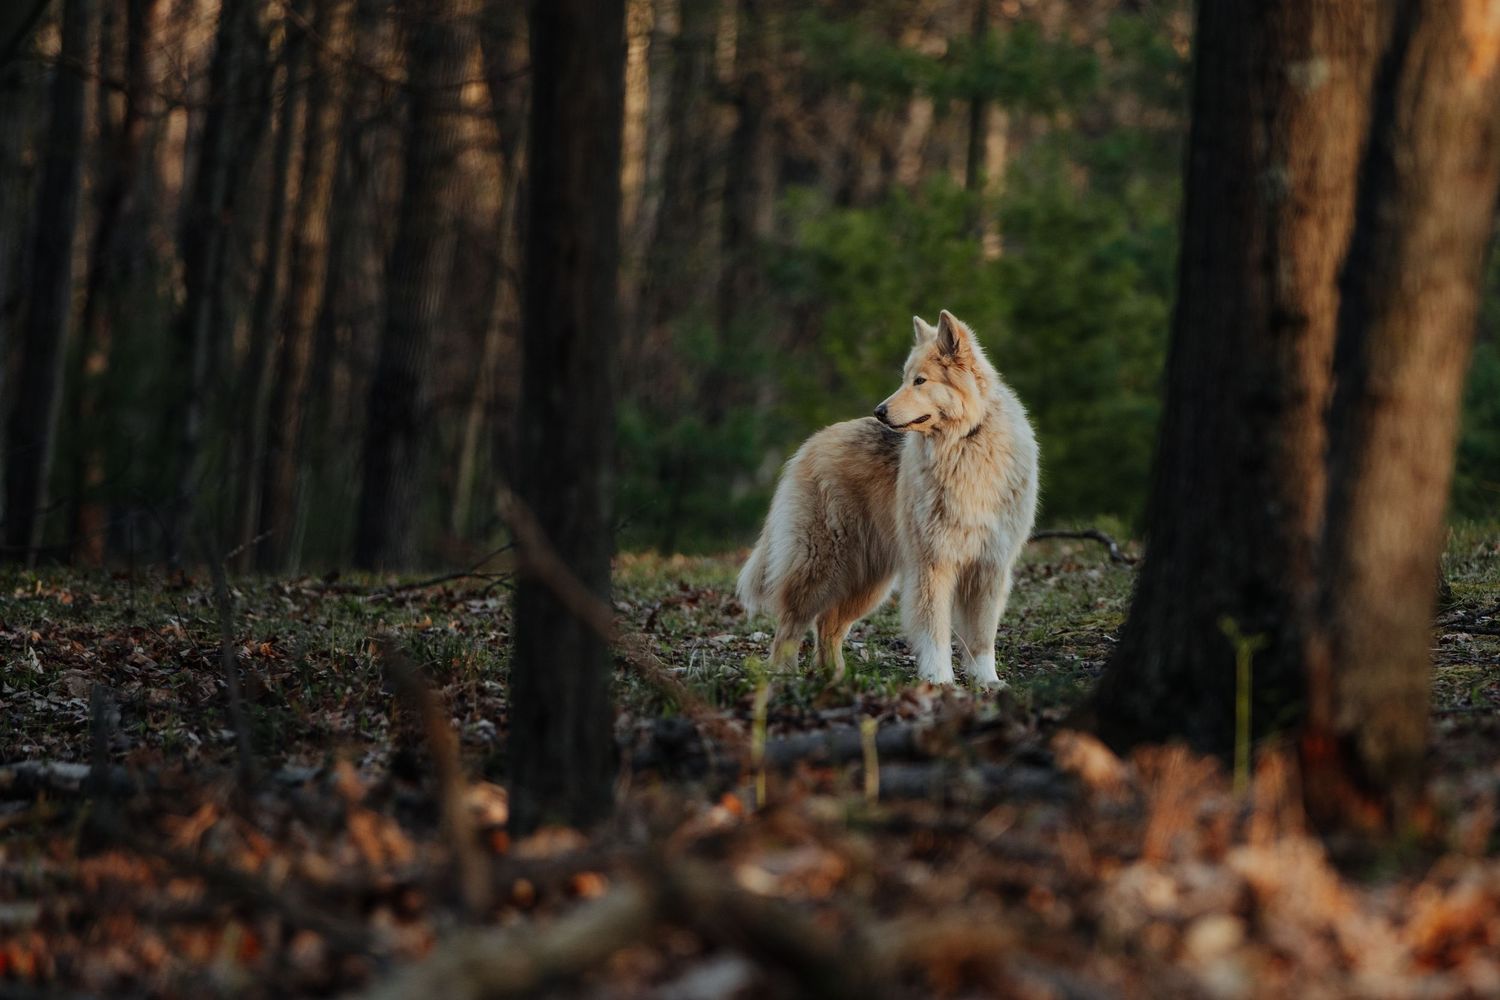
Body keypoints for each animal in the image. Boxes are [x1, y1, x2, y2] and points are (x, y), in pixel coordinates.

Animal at [737, 310, 1039, 686]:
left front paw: (987, 681)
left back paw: (835, 676)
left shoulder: (990, 567)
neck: (965, 442)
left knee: (828, 624)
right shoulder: (933, 564)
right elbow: (935, 630)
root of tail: (814, 441)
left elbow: (982, 636)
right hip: (823, 565)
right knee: (792, 622)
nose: (879, 411)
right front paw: (940, 680)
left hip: (869, 579)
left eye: (920, 381)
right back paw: (784, 675)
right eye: (906, 379)